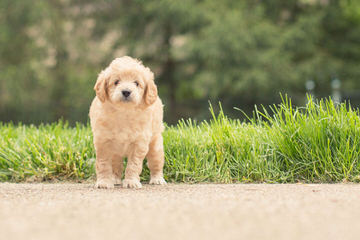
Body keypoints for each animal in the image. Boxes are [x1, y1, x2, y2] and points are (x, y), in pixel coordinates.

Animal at [89, 56, 165, 189]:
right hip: (115, 152)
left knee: (156, 163)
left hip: (156, 145)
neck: (124, 113)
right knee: (116, 165)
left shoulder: (139, 143)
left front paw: (131, 182)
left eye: (136, 83)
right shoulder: (103, 142)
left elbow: (134, 165)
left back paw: (157, 179)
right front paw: (104, 182)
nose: (126, 92)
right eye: (116, 82)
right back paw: (114, 179)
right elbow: (103, 164)